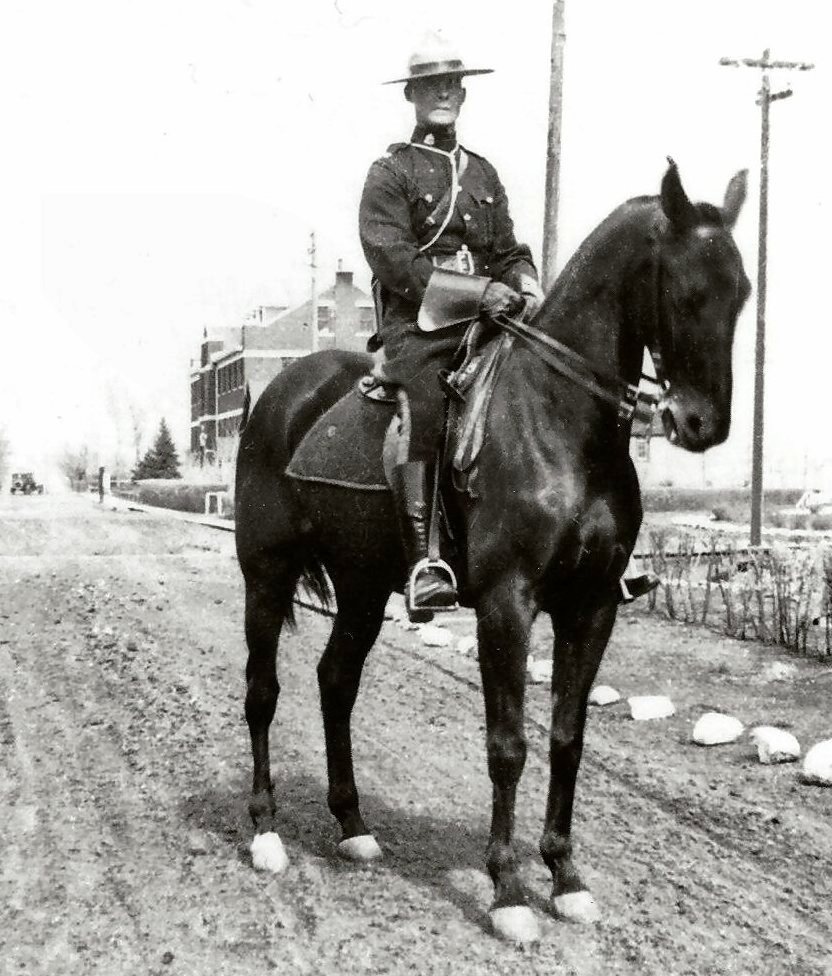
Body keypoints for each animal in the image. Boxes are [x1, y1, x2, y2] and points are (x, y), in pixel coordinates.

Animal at [236, 164, 752, 940]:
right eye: (688, 290)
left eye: (742, 293)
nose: (702, 426)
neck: (561, 421)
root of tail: (282, 393)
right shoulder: (507, 604)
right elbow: (508, 744)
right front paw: (507, 889)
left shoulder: (591, 607)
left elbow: (567, 737)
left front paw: (565, 876)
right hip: (265, 575)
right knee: (263, 691)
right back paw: (266, 830)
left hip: (362, 585)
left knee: (336, 682)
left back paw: (353, 825)